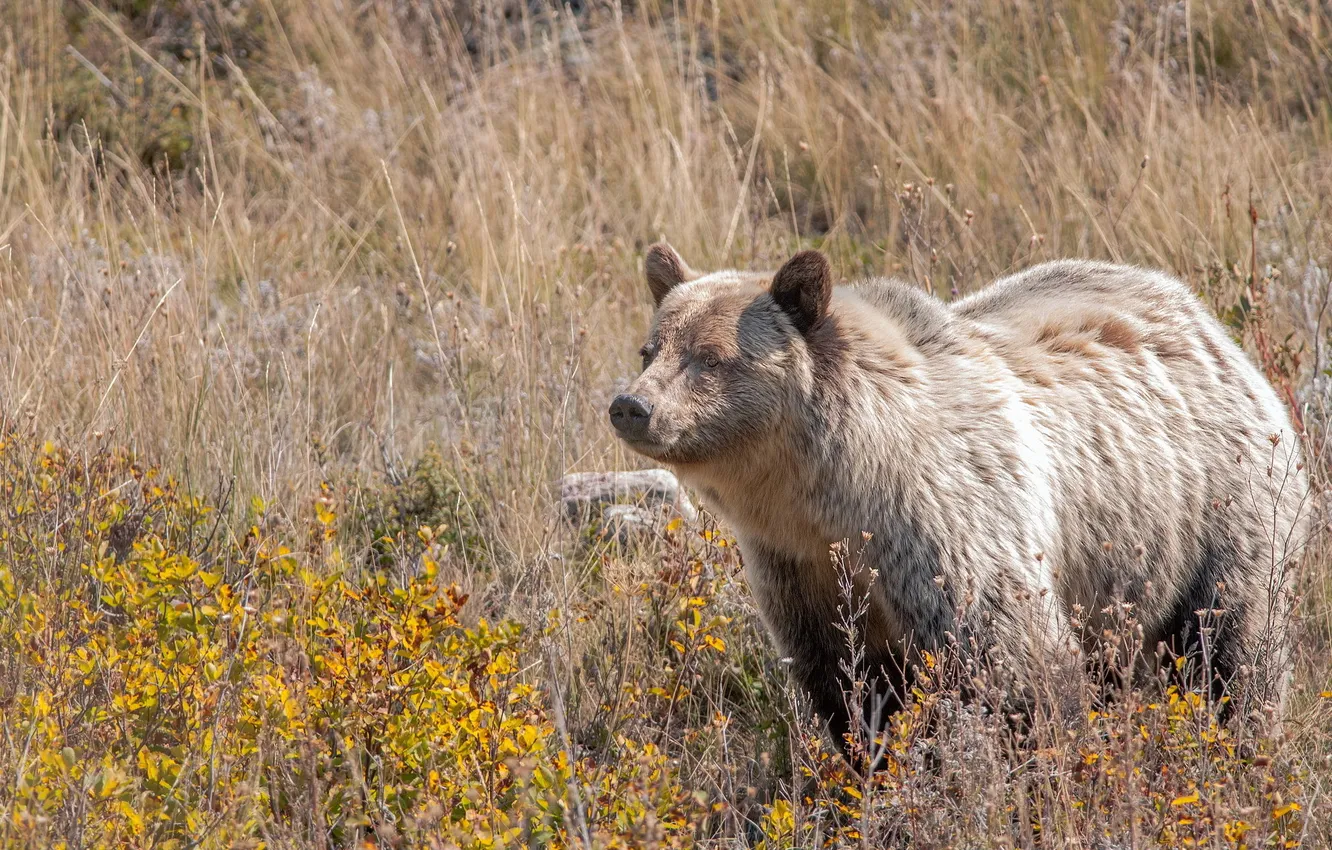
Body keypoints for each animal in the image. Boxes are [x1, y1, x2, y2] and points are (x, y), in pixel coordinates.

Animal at [609, 243, 1309, 756]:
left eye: (710, 358)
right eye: (651, 348)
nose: (631, 405)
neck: (825, 494)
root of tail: (1206, 320)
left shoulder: (948, 522)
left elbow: (1015, 665)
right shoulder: (801, 569)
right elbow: (847, 683)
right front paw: (872, 765)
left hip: (1219, 511)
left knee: (1231, 648)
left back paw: (1244, 740)